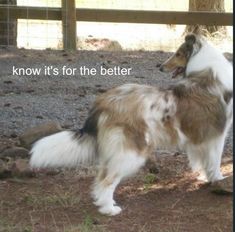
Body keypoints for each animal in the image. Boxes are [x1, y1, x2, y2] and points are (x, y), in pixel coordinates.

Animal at [29, 33, 233, 216]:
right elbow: (215, 162)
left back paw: (106, 203)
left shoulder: (200, 139)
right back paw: (108, 210)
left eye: (178, 53)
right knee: (107, 180)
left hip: (114, 151)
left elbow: (204, 161)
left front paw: (208, 179)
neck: (208, 72)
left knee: (101, 177)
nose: (160, 67)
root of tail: (103, 102)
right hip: (131, 152)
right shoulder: (217, 136)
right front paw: (218, 179)